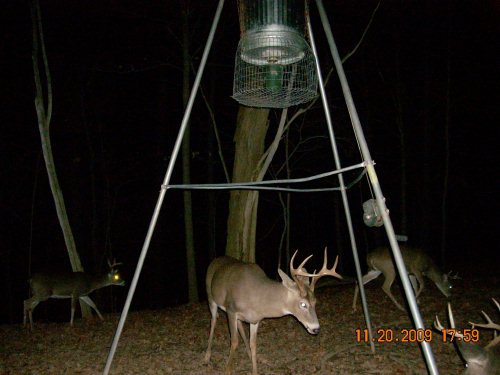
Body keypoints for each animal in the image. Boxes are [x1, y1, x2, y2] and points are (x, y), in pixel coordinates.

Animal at [204, 248, 344, 374]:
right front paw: (228, 369)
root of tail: (215, 259)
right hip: (211, 297)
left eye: (315, 302)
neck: (256, 298)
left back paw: (247, 354)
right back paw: (206, 357)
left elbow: (253, 344)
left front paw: (254, 369)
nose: (316, 328)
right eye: (303, 304)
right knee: (213, 321)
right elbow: (234, 341)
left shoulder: (255, 320)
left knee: (239, 326)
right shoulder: (231, 309)